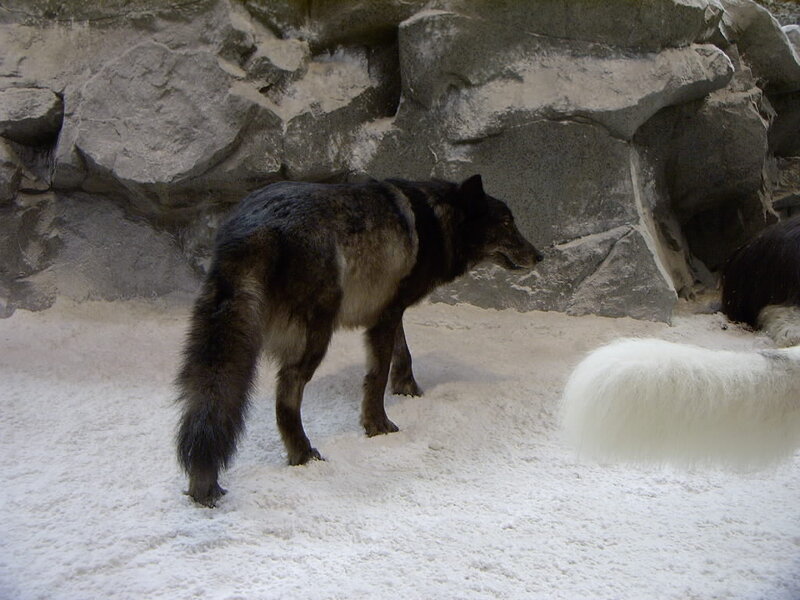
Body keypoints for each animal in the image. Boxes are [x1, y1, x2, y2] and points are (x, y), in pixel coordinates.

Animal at [176, 174, 542, 506]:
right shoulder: (386, 315)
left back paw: (202, 486)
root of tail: (251, 229)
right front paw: (377, 425)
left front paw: (409, 390)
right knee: (286, 397)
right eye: (507, 223)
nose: (539, 256)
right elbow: (377, 377)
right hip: (315, 339)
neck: (436, 222)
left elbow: (403, 354)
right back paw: (302, 454)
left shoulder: (388, 311)